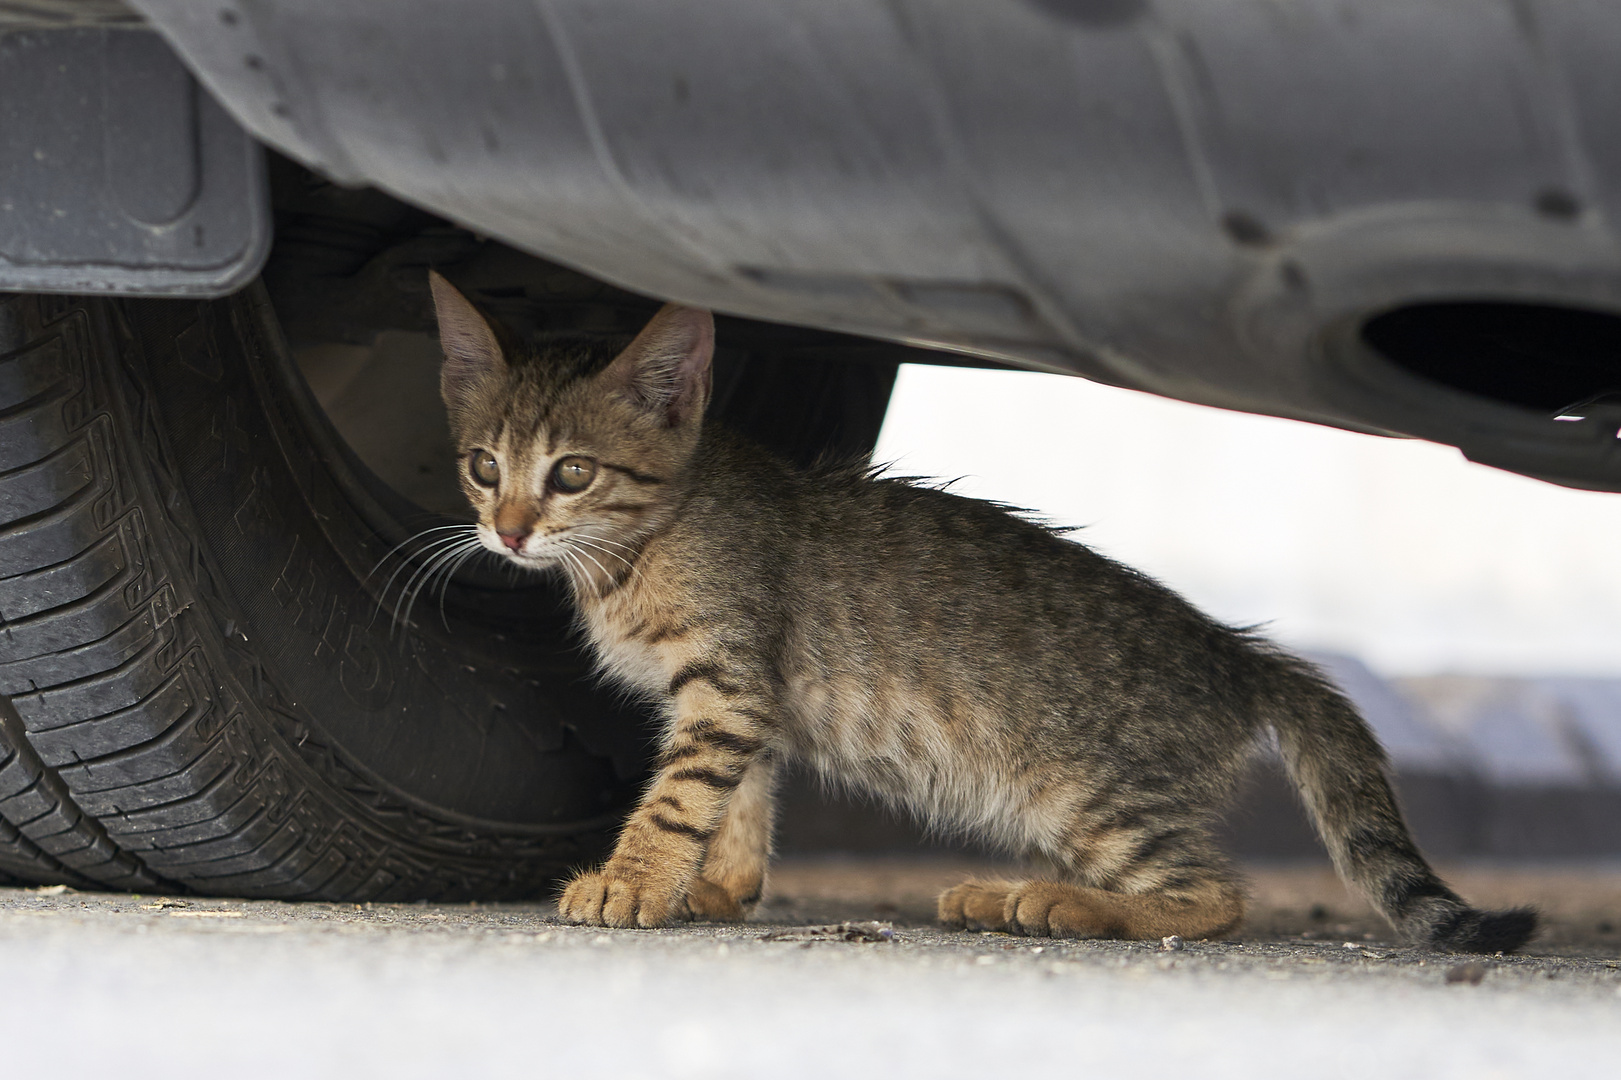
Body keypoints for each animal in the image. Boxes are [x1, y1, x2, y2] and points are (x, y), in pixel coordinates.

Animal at [427, 270, 1530, 953]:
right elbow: (739, 799)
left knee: (1209, 898)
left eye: (572, 473)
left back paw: (1047, 901)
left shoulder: (729, 681)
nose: (509, 533)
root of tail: (1235, 650)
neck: (641, 543)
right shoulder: (741, 700)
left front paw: (632, 878)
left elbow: (677, 793)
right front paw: (716, 884)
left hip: (1083, 792)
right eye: (482, 467)